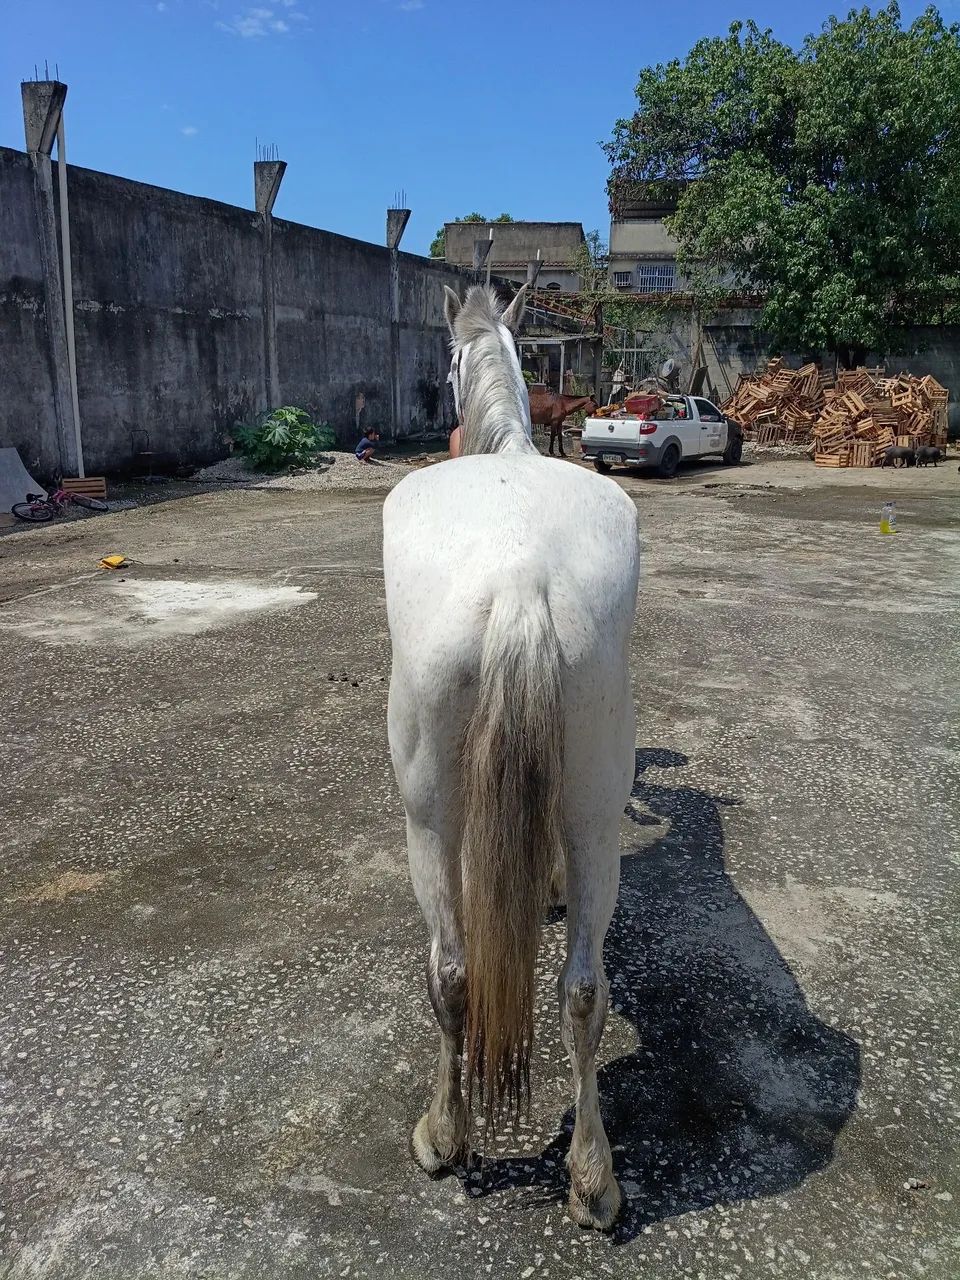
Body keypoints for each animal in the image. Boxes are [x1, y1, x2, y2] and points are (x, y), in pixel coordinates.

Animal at [382, 284, 640, 1230]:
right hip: (599, 800)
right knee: (583, 989)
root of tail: (522, 578)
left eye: (447, 359)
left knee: (453, 972)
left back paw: (444, 1134)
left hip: (425, 813)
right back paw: (594, 1176)